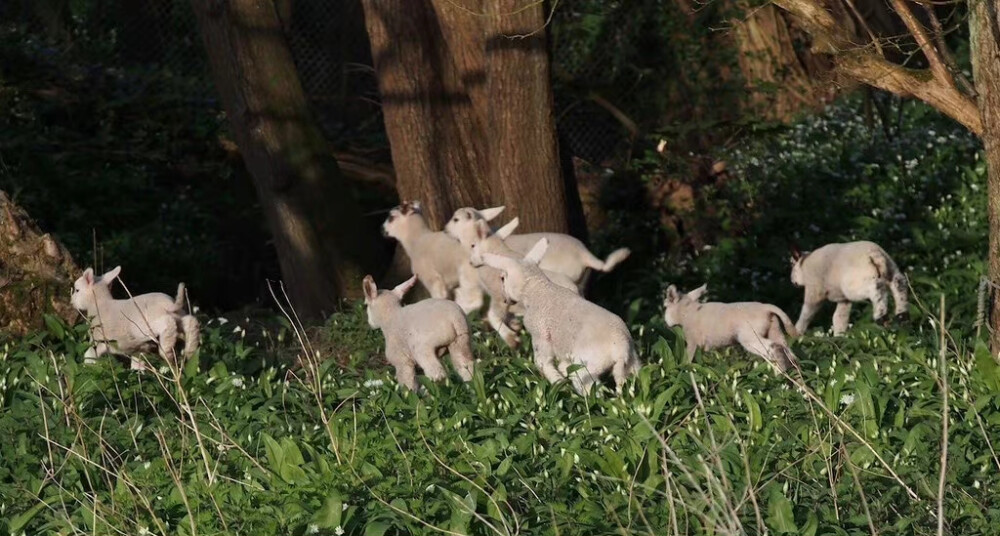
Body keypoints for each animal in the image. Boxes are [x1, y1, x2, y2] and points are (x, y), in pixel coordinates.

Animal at [71, 266, 201, 370]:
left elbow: (89, 354)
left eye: (77, 290)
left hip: (145, 326)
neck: (100, 304)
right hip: (178, 315)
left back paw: (167, 350)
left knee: (167, 324)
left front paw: (87, 367)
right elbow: (137, 363)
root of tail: (168, 304)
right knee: (190, 321)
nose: (72, 302)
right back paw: (190, 349)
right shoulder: (136, 350)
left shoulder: (98, 341)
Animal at [478, 239, 636, 394]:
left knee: (592, 392)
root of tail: (621, 349)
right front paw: (562, 373)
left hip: (585, 369)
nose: (506, 300)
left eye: (502, 278)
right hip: (633, 366)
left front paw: (559, 384)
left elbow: (542, 363)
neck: (538, 289)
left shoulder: (540, 336)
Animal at [660, 284, 800, 372]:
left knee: (773, 348)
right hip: (775, 330)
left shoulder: (692, 341)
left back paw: (779, 373)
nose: (665, 324)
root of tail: (766, 308)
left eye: (665, 307)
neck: (688, 311)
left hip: (750, 337)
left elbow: (687, 360)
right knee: (788, 351)